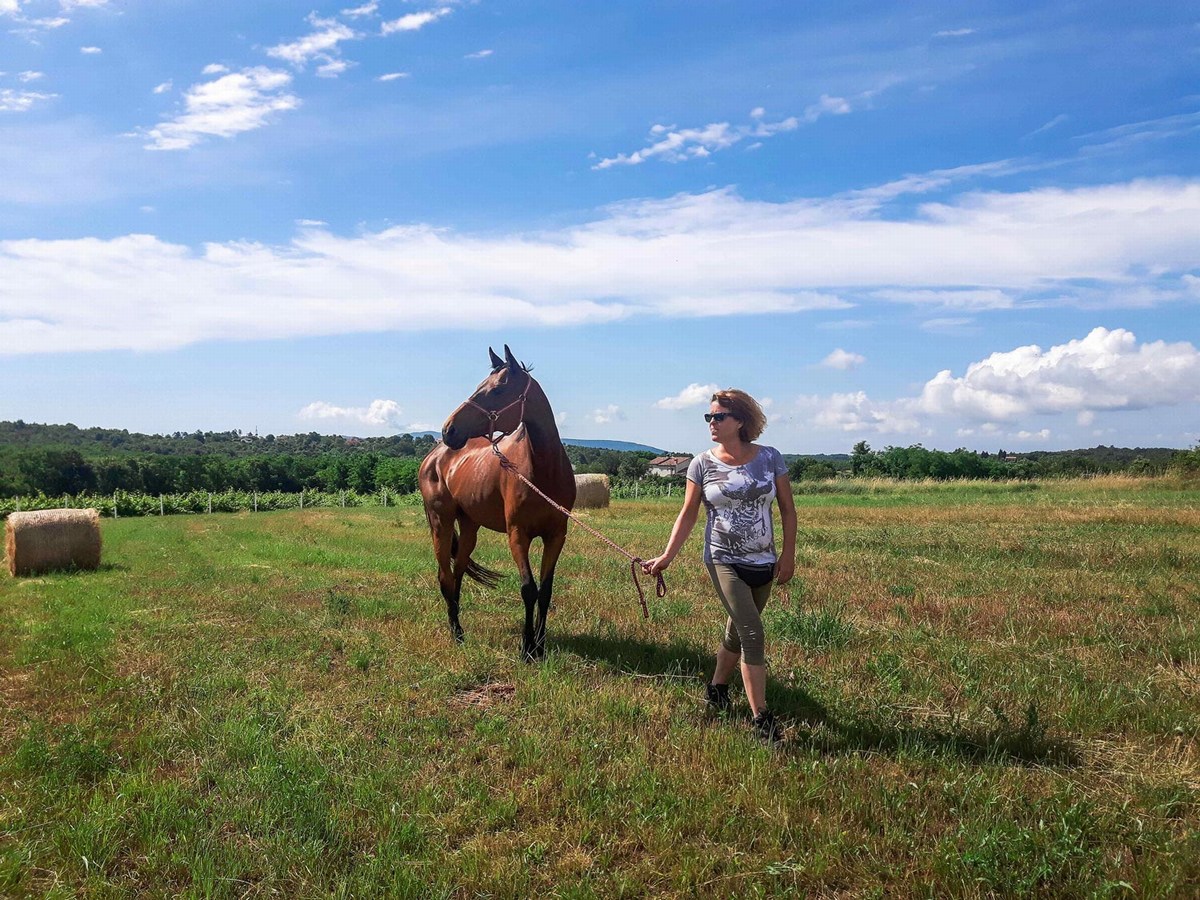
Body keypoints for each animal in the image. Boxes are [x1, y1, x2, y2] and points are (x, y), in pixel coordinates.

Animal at [419, 345, 576, 660]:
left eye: (497, 390)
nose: (448, 430)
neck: (543, 472)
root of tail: (434, 455)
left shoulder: (556, 536)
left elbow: (545, 591)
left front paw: (540, 646)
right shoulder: (518, 535)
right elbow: (528, 588)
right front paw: (527, 648)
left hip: (469, 527)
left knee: (457, 573)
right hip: (441, 524)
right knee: (445, 576)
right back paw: (457, 634)